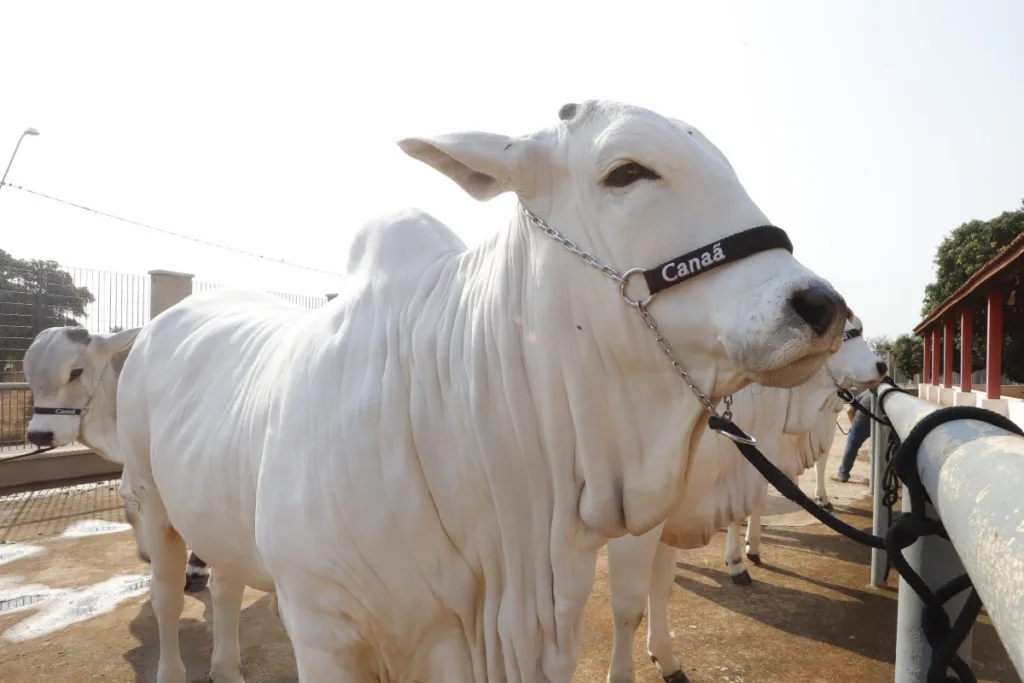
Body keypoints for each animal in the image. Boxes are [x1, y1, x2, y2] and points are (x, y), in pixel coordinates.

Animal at [22, 325, 211, 593]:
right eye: (28, 375)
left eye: (75, 372)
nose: (39, 434)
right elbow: (130, 506)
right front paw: (148, 553)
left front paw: (196, 567)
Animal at [114, 100, 847, 683]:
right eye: (626, 171)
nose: (821, 306)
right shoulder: (321, 629)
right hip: (154, 504)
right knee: (167, 596)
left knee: (225, 584)